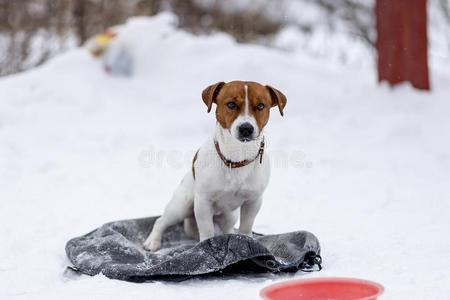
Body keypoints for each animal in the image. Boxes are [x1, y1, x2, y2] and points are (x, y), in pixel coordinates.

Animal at [142, 80, 286, 251]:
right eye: (231, 104)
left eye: (260, 106)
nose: (246, 128)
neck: (236, 157)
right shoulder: (203, 202)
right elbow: (207, 230)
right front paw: (205, 248)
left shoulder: (253, 201)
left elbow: (246, 227)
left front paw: (245, 243)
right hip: (181, 205)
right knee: (161, 221)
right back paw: (153, 241)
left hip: (229, 216)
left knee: (228, 228)